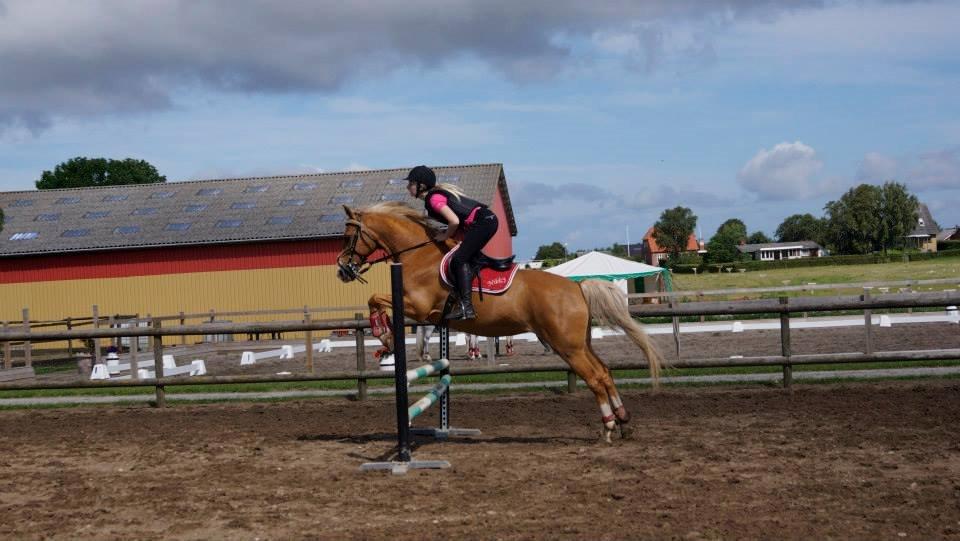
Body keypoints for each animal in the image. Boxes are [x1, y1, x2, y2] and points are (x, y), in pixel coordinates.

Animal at [334, 200, 664, 440]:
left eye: (348, 237)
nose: (342, 270)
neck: (420, 256)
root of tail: (577, 286)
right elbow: (375, 300)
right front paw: (385, 338)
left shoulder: (419, 308)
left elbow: (375, 299)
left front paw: (385, 335)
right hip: (580, 344)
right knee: (605, 372)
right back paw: (623, 420)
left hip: (567, 346)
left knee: (595, 377)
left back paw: (608, 425)